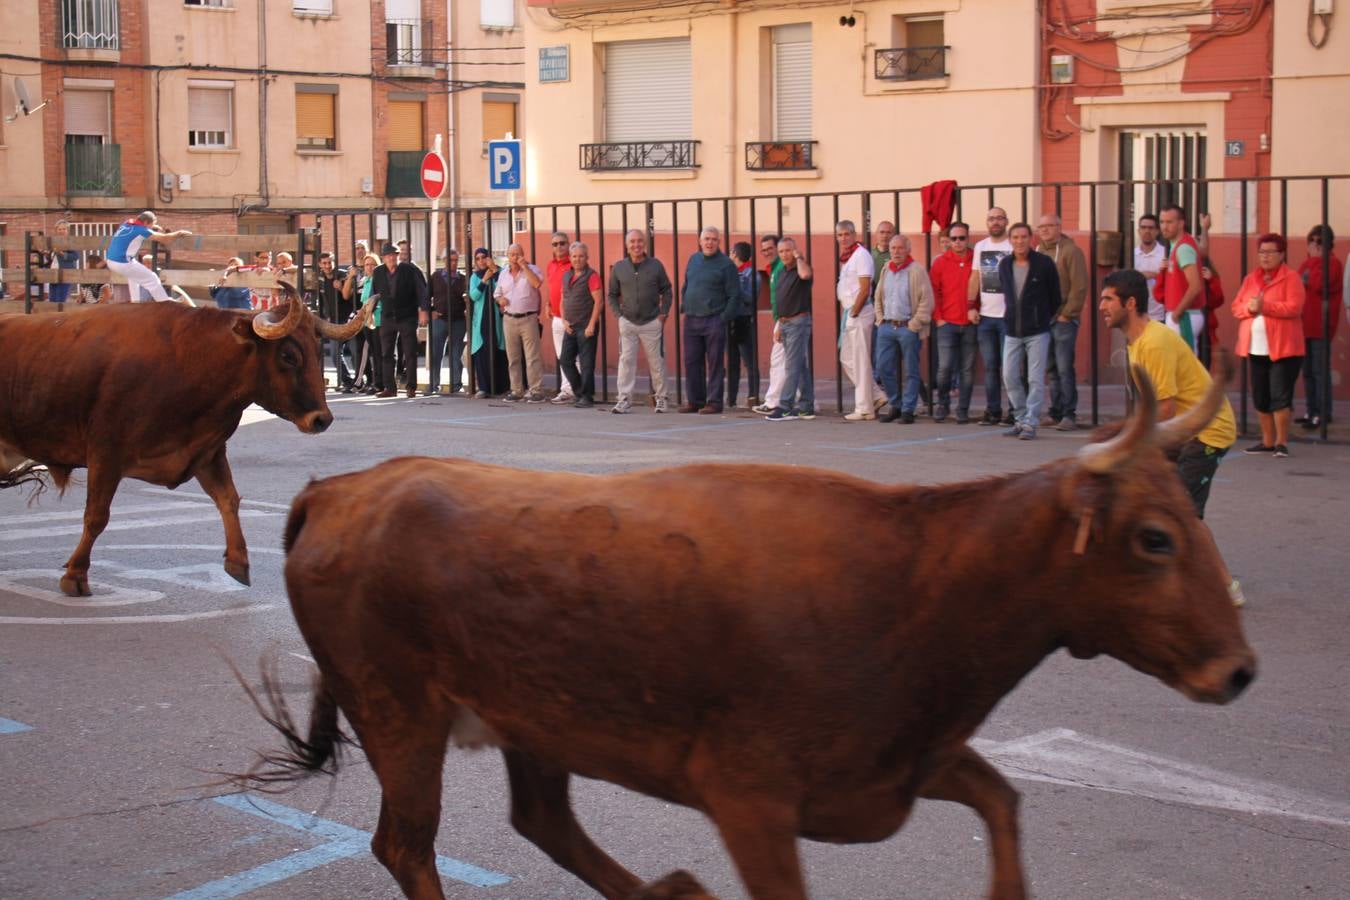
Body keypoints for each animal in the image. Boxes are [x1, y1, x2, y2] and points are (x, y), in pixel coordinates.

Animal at [0, 284, 375, 599]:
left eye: (316, 351)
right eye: (288, 355)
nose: (321, 419)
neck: (190, 363)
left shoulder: (206, 452)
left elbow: (229, 500)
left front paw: (238, 562)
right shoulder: (105, 454)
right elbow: (96, 516)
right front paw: (76, 574)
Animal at [240, 361, 1252, 895]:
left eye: (1192, 517)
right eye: (1155, 537)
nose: (1239, 670)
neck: (917, 576)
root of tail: (343, 489)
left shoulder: (903, 761)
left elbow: (1002, 800)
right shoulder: (752, 801)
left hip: (534, 719)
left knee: (542, 820)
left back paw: (665, 892)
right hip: (400, 717)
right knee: (407, 845)